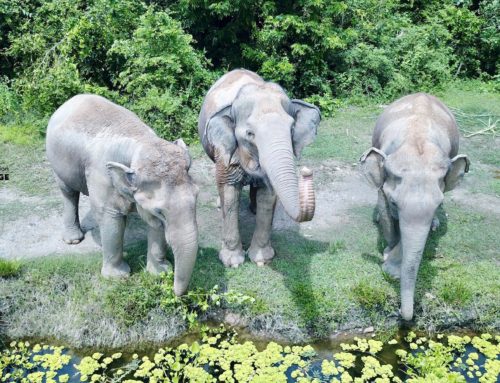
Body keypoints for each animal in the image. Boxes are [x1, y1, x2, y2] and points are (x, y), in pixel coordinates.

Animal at [46, 94, 199, 296]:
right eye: (160, 211)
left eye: (196, 197)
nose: (177, 293)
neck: (140, 143)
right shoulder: (102, 175)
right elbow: (111, 217)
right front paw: (118, 277)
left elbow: (154, 225)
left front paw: (160, 272)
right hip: (57, 162)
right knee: (69, 192)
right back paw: (73, 240)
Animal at [197, 69, 318, 268]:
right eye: (250, 134)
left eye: (292, 129)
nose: (306, 171)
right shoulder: (225, 154)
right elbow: (229, 193)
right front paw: (233, 262)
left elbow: (268, 196)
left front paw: (261, 259)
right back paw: (220, 205)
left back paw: (253, 208)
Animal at [360, 93, 468, 320]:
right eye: (394, 203)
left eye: (438, 203)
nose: (401, 313)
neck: (416, 141)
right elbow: (385, 210)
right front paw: (389, 262)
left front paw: (393, 269)